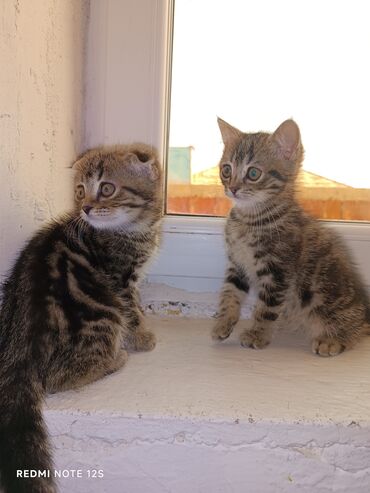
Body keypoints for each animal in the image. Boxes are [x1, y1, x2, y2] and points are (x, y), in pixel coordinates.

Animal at [0, 143, 162, 492]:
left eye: (107, 188)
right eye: (79, 190)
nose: (85, 208)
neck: (133, 228)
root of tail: (19, 348)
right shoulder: (119, 282)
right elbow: (132, 309)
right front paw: (143, 336)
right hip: (103, 314)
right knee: (57, 380)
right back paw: (114, 360)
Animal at [212, 119, 370, 356]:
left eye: (253, 173)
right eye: (226, 169)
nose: (232, 188)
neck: (249, 220)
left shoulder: (278, 271)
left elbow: (266, 308)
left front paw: (257, 334)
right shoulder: (237, 264)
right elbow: (229, 293)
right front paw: (223, 323)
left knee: (354, 330)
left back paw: (333, 340)